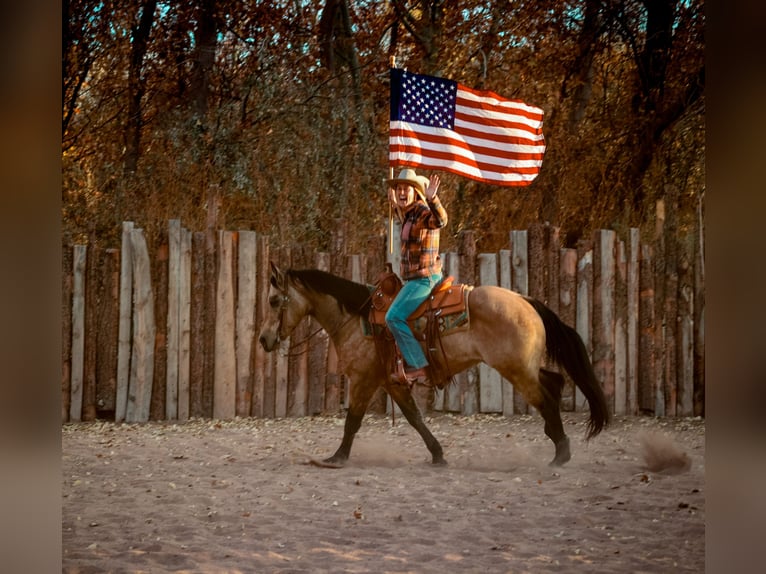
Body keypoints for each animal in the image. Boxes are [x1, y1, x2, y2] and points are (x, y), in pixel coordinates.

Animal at [260, 264, 612, 470]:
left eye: (274, 301)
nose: (264, 339)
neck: (357, 318)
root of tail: (525, 300)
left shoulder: (363, 380)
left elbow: (352, 421)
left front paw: (336, 458)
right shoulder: (392, 382)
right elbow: (415, 418)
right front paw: (438, 454)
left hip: (516, 370)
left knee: (546, 399)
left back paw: (560, 453)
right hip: (524, 366)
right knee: (554, 382)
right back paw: (557, 443)